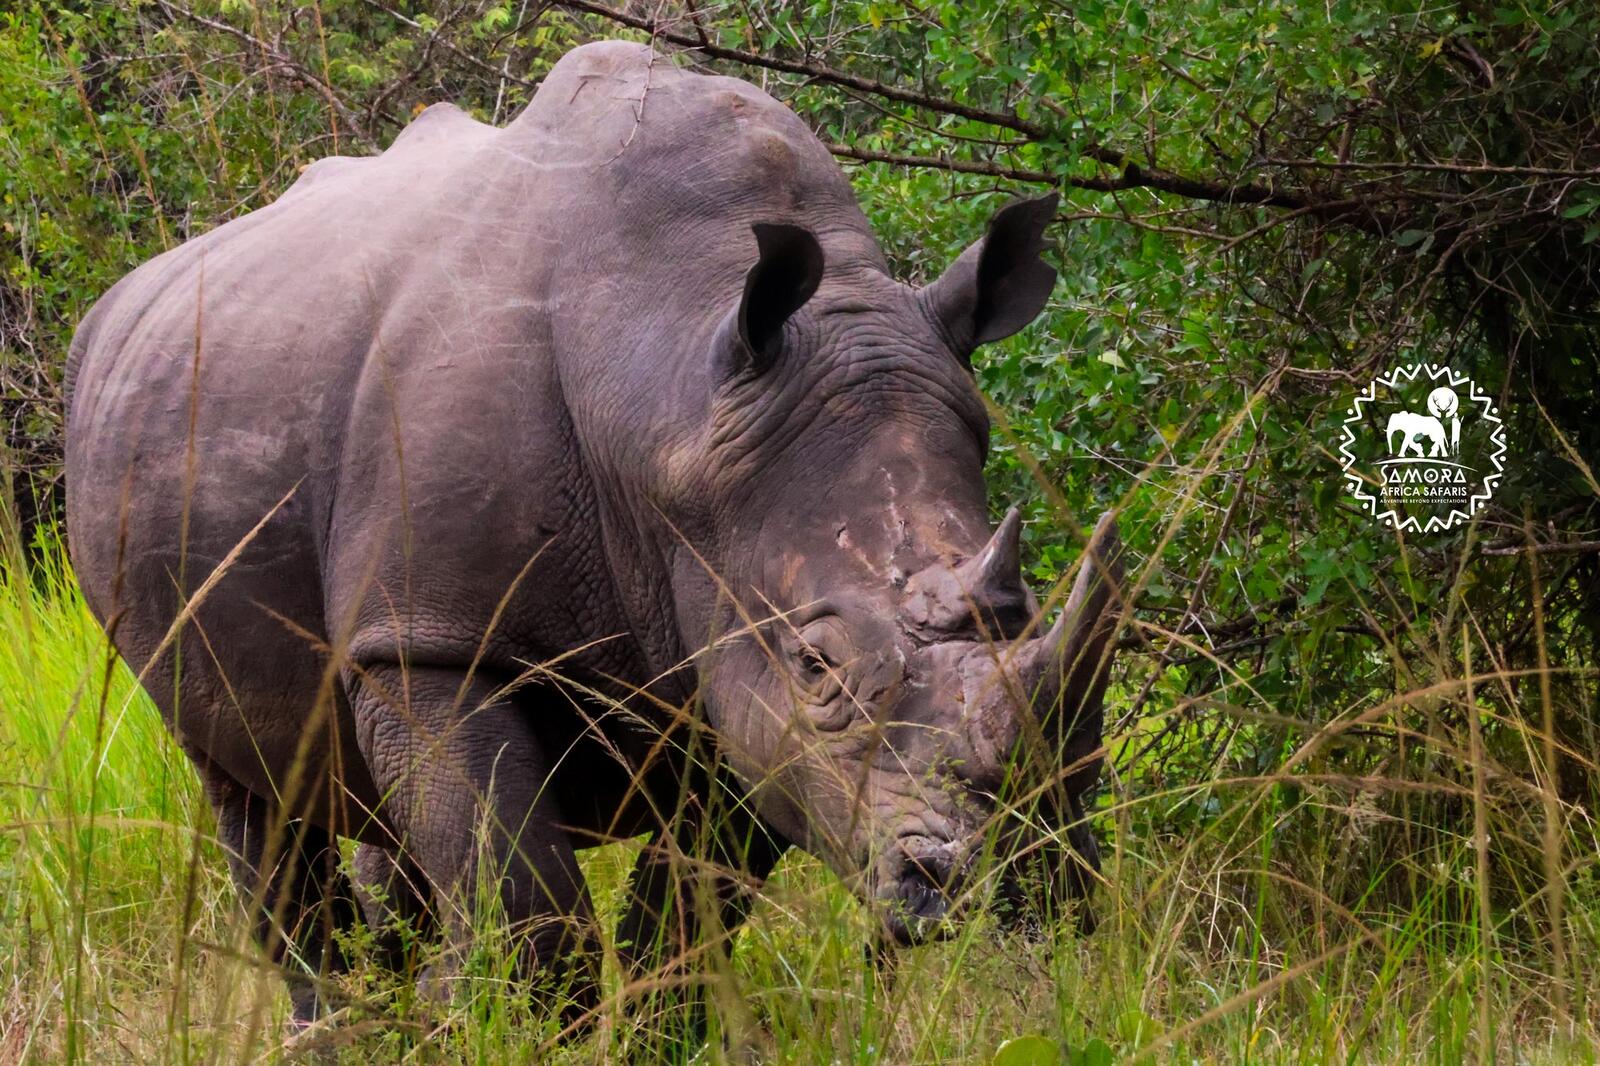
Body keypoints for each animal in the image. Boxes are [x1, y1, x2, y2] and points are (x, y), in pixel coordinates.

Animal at [63, 40, 1123, 1028]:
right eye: (818, 666)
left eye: (1029, 613)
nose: (1018, 877)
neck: (669, 392)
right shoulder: (430, 638)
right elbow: (530, 917)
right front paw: (505, 1020)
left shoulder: (731, 672)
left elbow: (683, 937)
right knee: (254, 792)